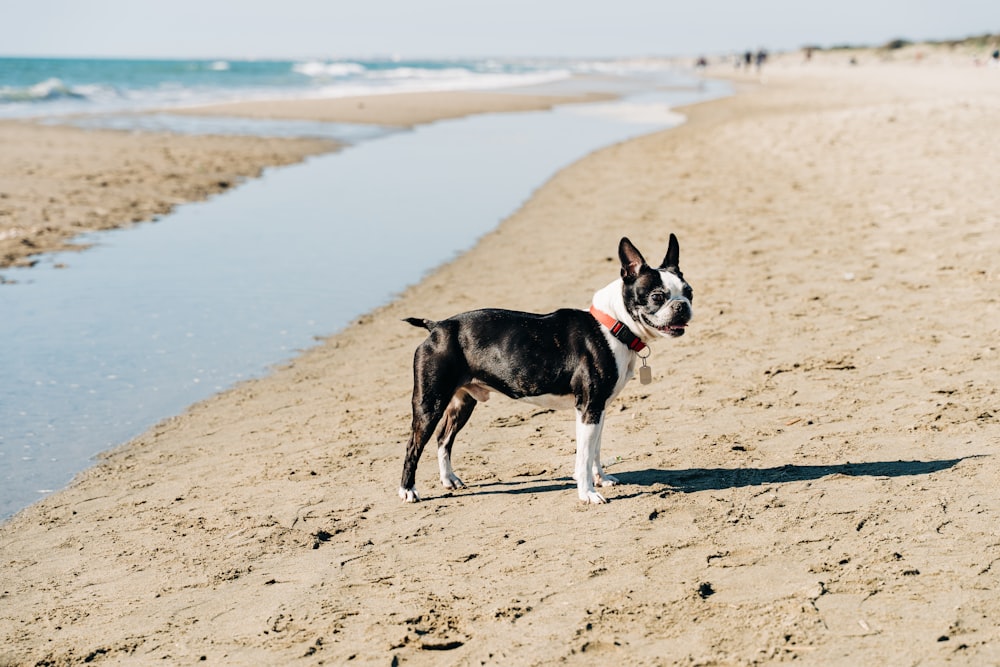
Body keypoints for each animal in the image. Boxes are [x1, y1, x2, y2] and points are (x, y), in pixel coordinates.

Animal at [398, 234, 696, 500]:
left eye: (689, 292)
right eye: (657, 297)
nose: (682, 306)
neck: (613, 325)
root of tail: (437, 326)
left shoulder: (599, 408)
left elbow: (596, 450)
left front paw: (601, 478)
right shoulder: (589, 407)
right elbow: (584, 456)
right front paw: (588, 493)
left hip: (462, 401)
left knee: (443, 438)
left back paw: (449, 478)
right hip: (429, 403)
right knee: (414, 445)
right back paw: (408, 490)